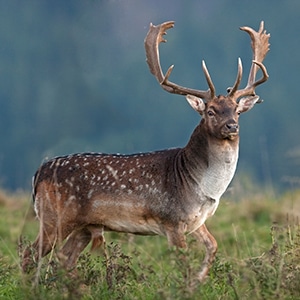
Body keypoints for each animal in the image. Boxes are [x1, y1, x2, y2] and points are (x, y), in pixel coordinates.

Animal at [21, 21, 270, 284]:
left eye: (236, 110)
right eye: (210, 111)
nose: (232, 126)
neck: (202, 188)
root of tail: (37, 174)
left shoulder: (196, 220)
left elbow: (213, 246)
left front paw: (199, 281)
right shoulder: (172, 220)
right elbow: (183, 263)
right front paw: (188, 285)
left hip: (84, 226)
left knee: (64, 258)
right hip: (55, 218)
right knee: (29, 254)